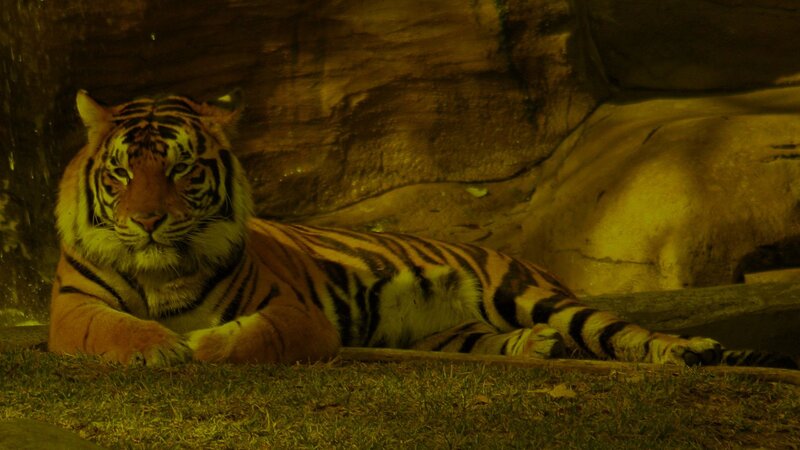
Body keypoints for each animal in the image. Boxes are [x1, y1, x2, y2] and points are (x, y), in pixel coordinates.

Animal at [48, 90, 798, 370]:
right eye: (122, 174)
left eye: (180, 170)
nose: (147, 220)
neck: (162, 269)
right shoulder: (72, 310)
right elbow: (115, 329)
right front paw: (159, 346)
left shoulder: (290, 313)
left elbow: (246, 335)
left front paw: (199, 344)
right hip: (454, 331)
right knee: (500, 340)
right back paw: (536, 348)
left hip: (530, 292)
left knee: (624, 331)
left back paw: (688, 350)